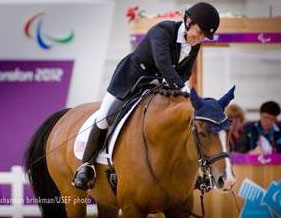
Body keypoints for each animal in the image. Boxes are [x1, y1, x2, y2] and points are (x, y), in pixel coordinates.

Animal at [24, 86, 235, 217]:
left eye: (228, 131)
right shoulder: (132, 208)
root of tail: (66, 114)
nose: (227, 180)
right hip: (73, 197)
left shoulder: (179, 209)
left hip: (106, 201)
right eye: (201, 133)